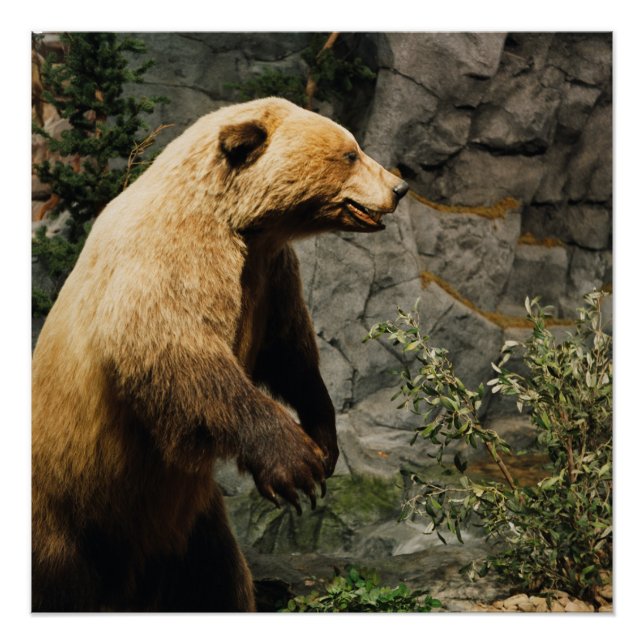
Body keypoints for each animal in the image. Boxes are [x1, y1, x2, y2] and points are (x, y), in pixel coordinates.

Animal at [31, 97, 409, 612]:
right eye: (350, 153)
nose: (399, 187)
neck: (242, 223)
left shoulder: (270, 276)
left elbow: (289, 353)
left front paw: (324, 439)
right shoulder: (170, 260)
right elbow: (179, 353)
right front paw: (296, 464)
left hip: (189, 524)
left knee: (215, 579)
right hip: (67, 514)